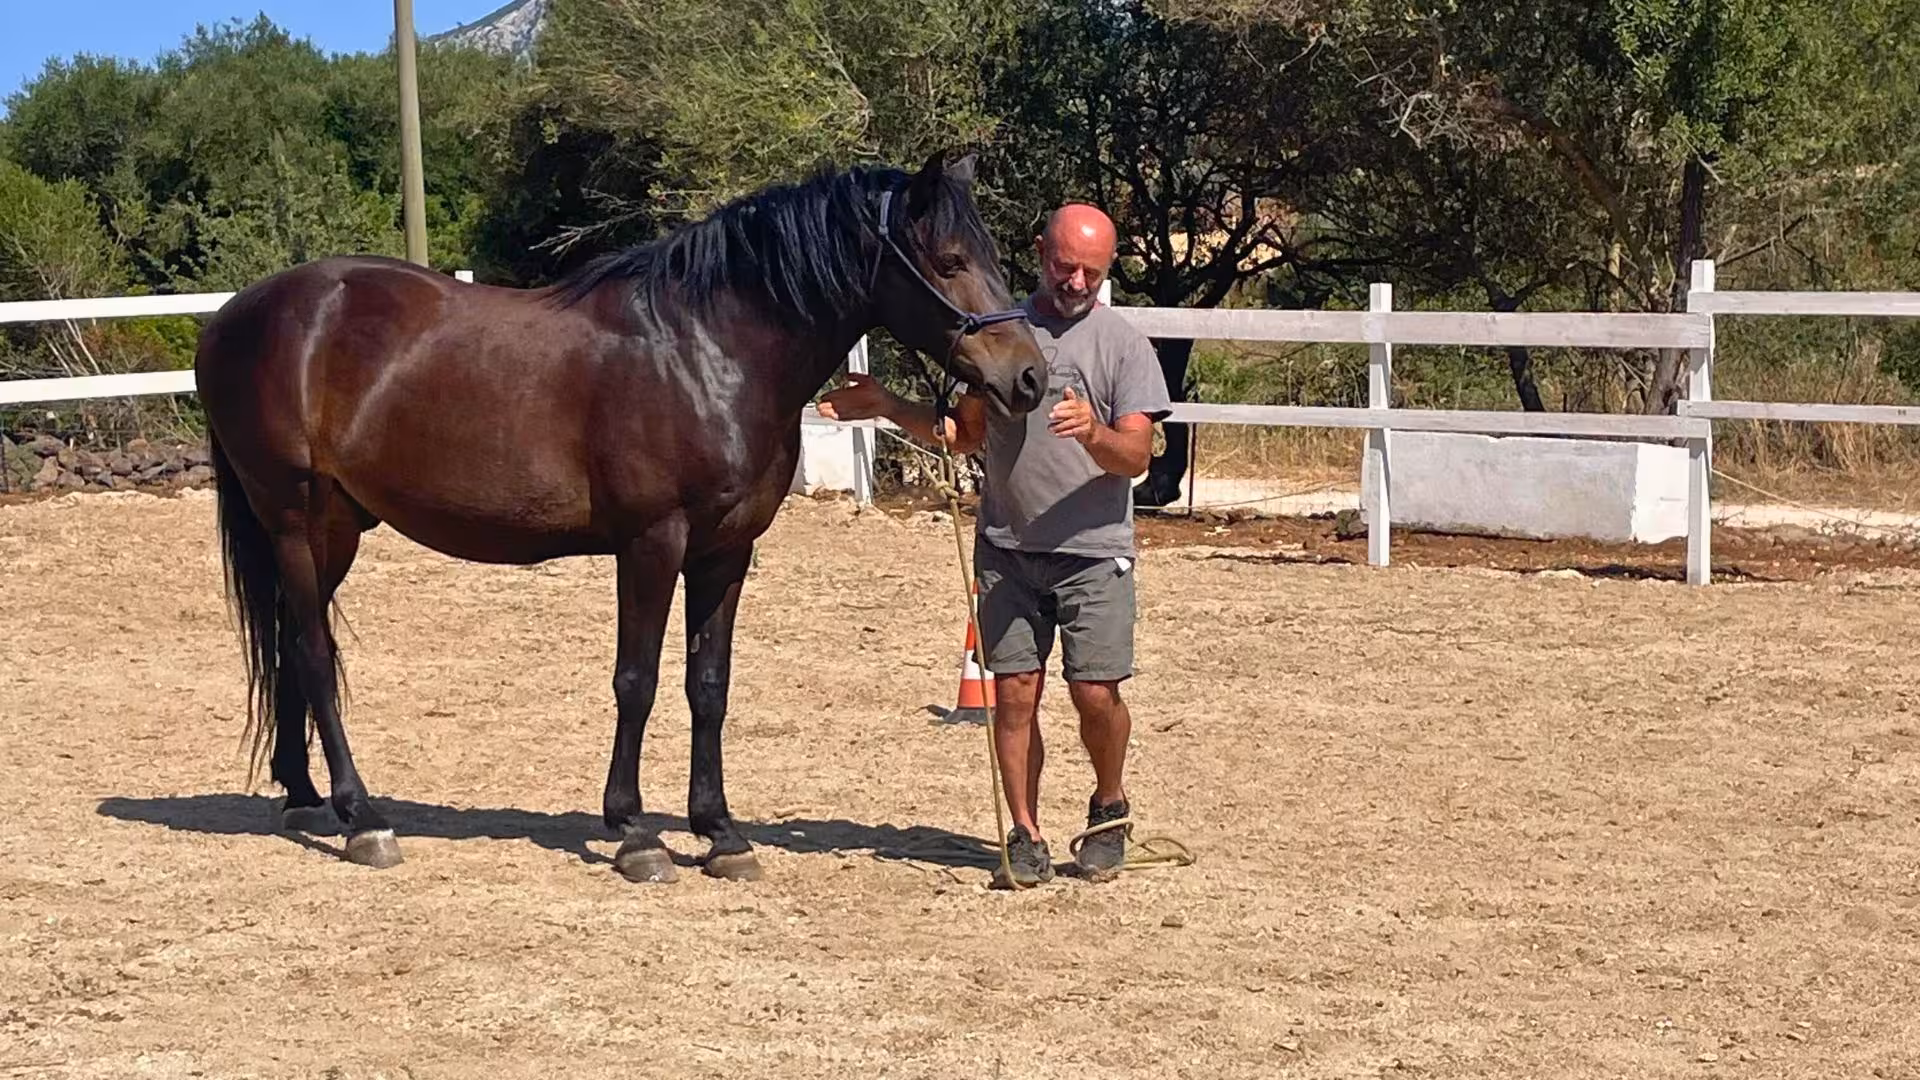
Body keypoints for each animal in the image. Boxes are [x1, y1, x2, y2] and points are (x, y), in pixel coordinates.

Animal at [193, 150, 1047, 883]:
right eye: (949, 262)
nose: (1029, 377)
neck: (706, 350)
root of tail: (235, 316)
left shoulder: (726, 552)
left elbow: (709, 684)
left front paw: (720, 832)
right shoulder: (651, 544)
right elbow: (636, 680)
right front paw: (635, 833)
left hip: (335, 527)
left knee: (289, 645)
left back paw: (306, 799)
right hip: (293, 518)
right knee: (310, 651)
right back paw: (363, 817)